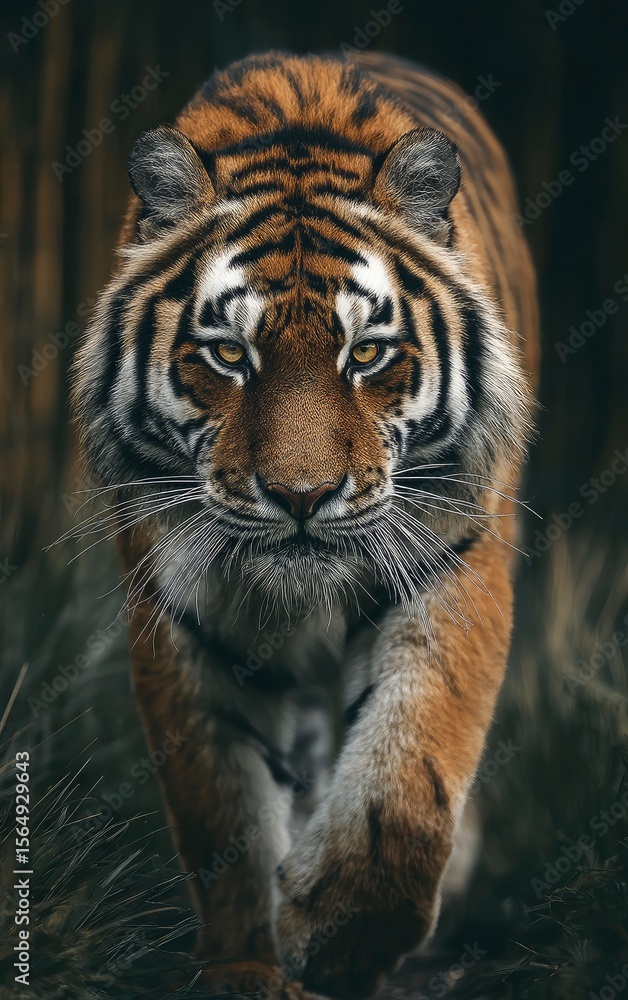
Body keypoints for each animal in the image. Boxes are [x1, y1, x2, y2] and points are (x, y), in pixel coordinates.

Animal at [72, 50, 539, 999]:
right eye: (227, 354)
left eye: (367, 354)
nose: (300, 495)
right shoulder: (182, 612)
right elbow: (224, 811)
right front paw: (249, 964)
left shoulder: (451, 563)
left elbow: (410, 767)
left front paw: (343, 933)